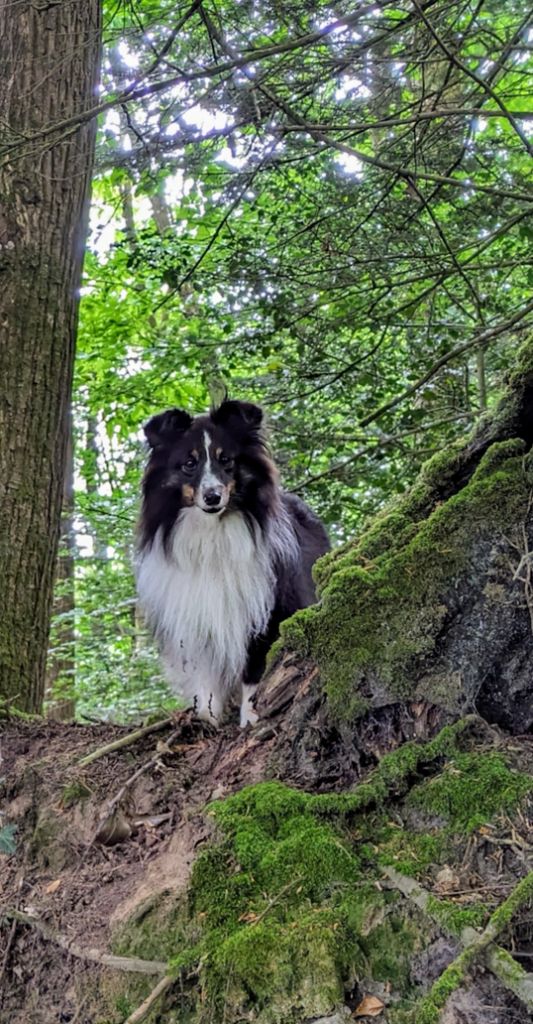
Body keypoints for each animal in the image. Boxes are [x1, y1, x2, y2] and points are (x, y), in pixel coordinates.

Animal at [135, 399, 329, 729]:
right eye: (189, 463)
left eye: (226, 459)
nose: (213, 497)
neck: (213, 534)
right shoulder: (199, 617)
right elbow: (205, 675)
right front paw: (207, 715)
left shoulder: (267, 609)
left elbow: (257, 665)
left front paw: (251, 714)